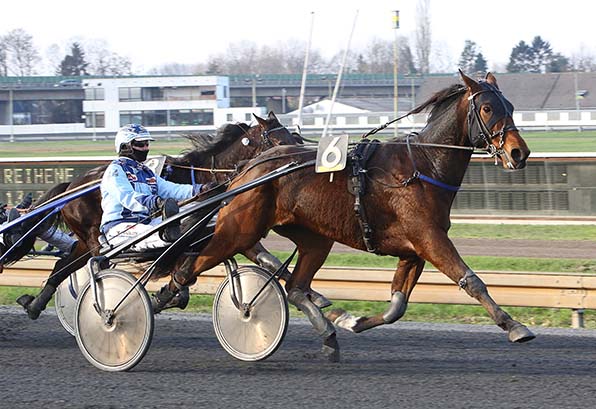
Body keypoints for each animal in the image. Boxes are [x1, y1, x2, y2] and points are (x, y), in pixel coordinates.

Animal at [15, 111, 308, 318]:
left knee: (62, 267)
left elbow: (268, 260)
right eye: (278, 141)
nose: (298, 157)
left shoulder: (231, 231)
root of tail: (71, 185)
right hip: (96, 238)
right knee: (96, 264)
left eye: (294, 137)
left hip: (84, 243)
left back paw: (34, 304)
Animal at [156, 70, 532, 360]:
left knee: (295, 288)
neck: (422, 166)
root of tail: (245, 170)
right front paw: (515, 326)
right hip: (238, 230)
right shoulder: (429, 238)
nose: (519, 152)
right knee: (188, 266)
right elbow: (471, 280)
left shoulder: (414, 249)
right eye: (487, 108)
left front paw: (351, 320)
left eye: (511, 107)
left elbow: (397, 307)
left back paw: (328, 331)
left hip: (313, 239)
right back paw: (161, 299)